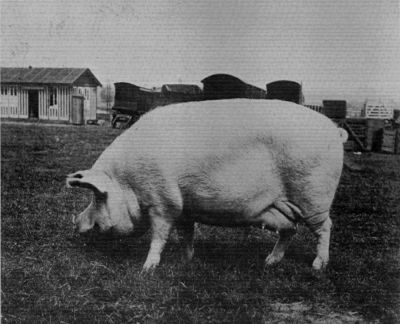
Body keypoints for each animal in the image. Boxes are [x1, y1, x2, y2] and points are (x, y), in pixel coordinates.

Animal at [66, 98, 346, 270]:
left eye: (98, 196)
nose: (75, 222)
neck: (127, 183)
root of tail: (334, 130)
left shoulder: (163, 201)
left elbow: (159, 235)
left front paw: (147, 268)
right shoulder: (184, 207)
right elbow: (186, 234)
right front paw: (187, 259)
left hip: (314, 197)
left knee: (325, 227)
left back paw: (318, 266)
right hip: (285, 205)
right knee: (289, 230)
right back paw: (269, 262)